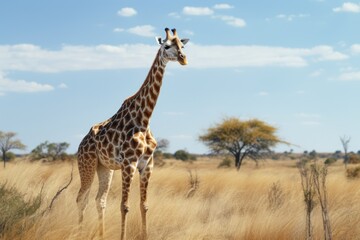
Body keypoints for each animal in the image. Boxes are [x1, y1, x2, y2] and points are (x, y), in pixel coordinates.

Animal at [75, 27, 188, 239]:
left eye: (182, 46)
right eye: (167, 46)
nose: (183, 58)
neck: (144, 119)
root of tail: (81, 144)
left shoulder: (147, 164)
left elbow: (144, 205)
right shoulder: (129, 163)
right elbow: (124, 206)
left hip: (105, 168)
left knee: (99, 200)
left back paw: (101, 234)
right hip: (87, 164)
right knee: (81, 199)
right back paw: (78, 232)